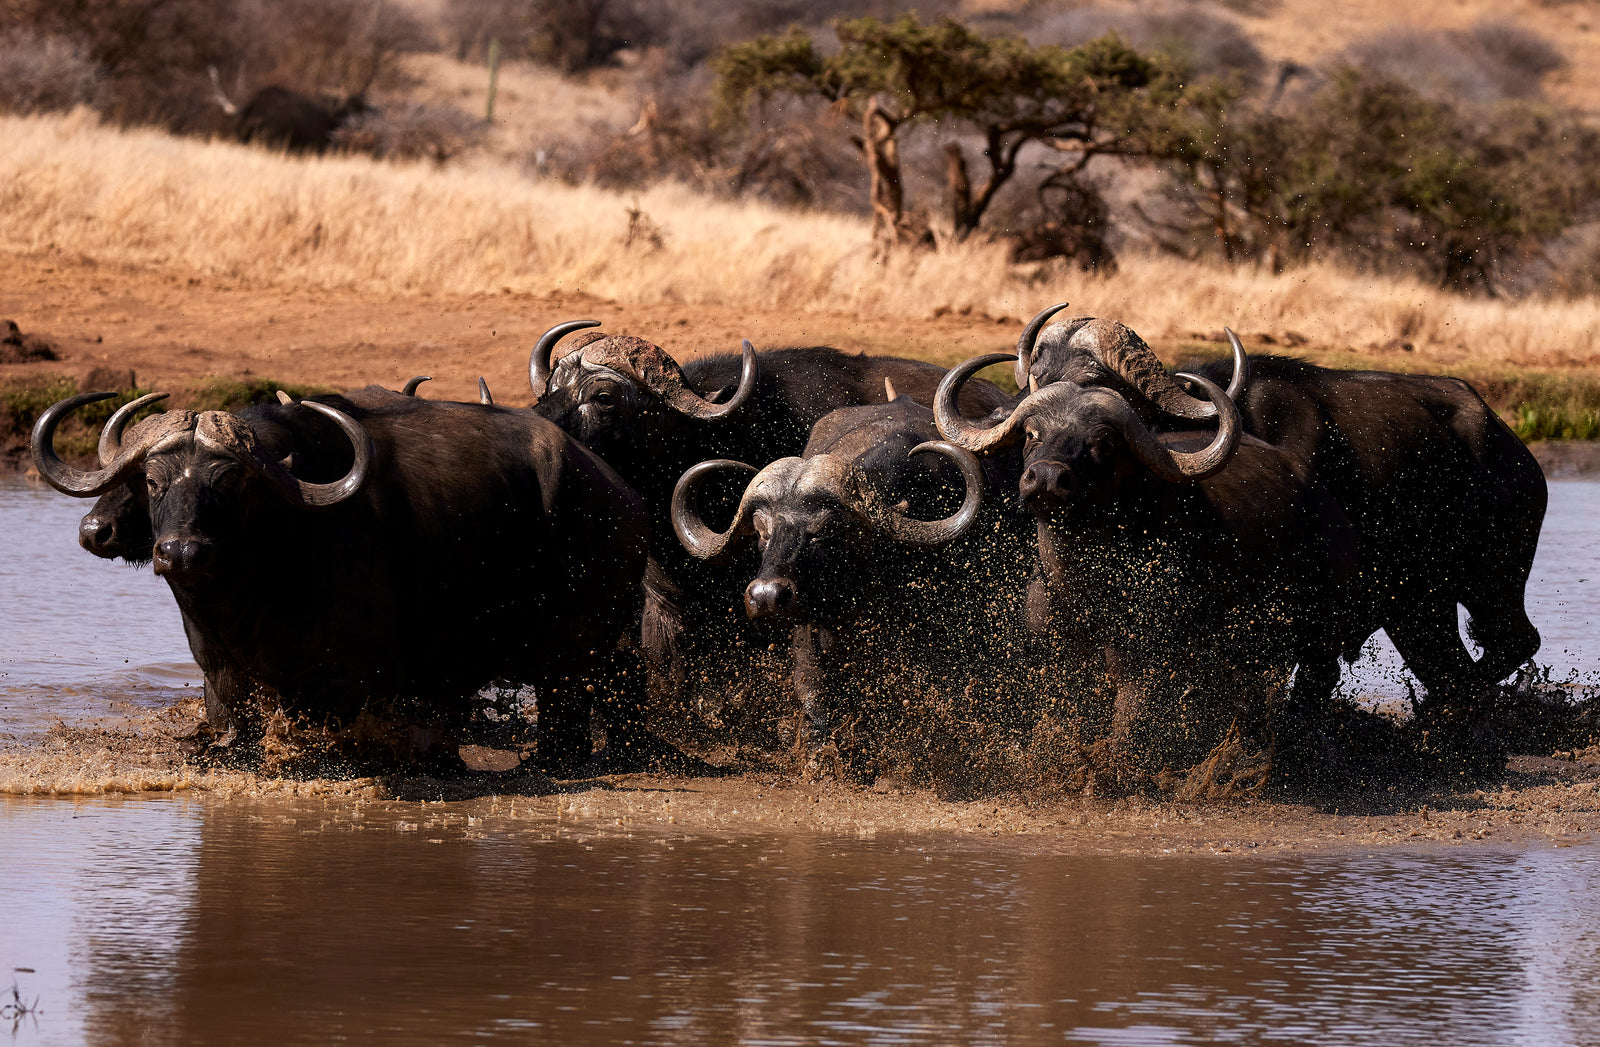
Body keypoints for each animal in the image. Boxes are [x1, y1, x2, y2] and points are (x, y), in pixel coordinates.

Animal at [35, 385, 652, 776]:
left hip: (575, 652)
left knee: (567, 721)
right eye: (152, 481)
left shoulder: (351, 681)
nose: (182, 551)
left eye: (230, 483)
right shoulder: (221, 676)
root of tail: (619, 497)